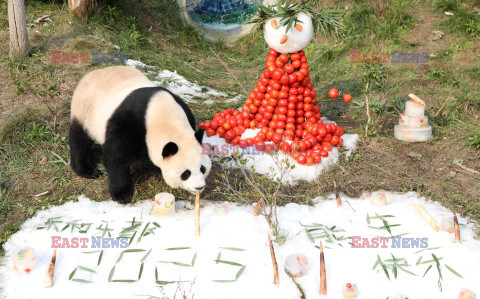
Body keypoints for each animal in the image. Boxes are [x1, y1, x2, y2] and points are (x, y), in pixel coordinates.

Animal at [68, 66, 211, 205]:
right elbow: (116, 158)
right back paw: (88, 170)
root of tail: (94, 72)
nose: (199, 187)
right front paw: (122, 194)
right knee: (79, 139)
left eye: (202, 169)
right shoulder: (127, 124)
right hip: (86, 110)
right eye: (185, 173)